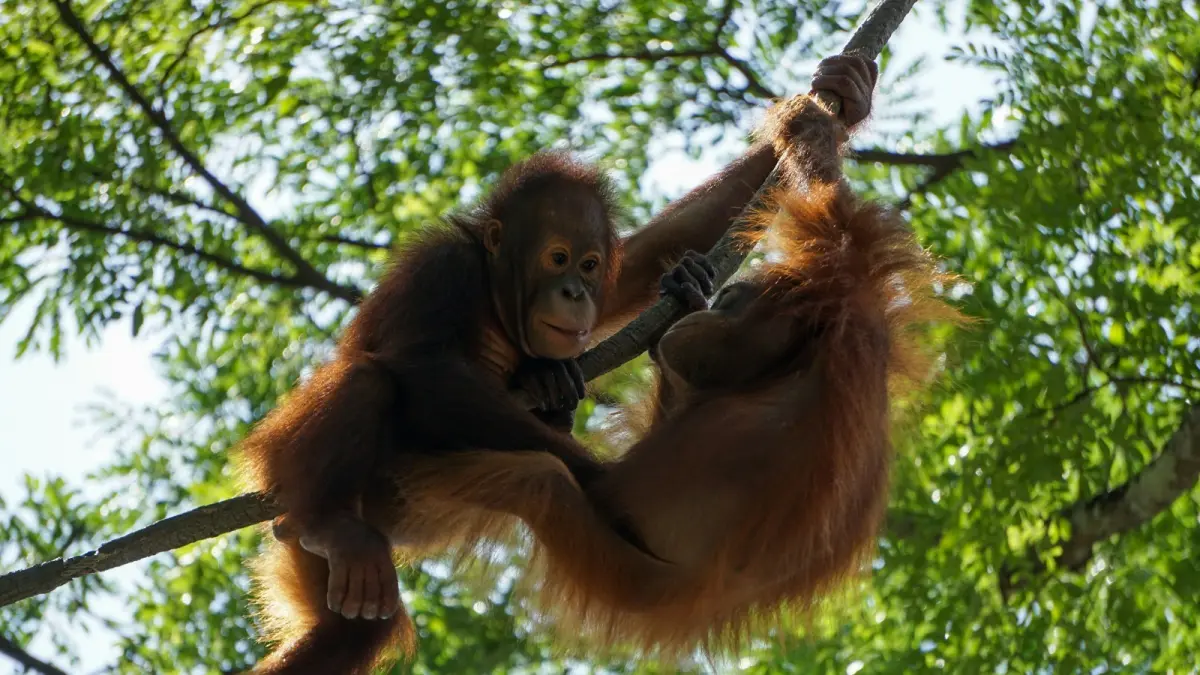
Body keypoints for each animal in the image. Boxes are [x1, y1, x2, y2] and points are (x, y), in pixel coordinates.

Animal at [237, 55, 880, 675]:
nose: (573, 292)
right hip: (282, 463)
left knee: (355, 631)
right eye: (557, 258)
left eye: (590, 265)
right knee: (370, 382)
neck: (497, 301)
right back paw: (331, 524)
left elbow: (643, 256)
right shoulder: (443, 267)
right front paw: (595, 471)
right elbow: (424, 369)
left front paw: (845, 93)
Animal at [381, 91, 965, 658]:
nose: (707, 311)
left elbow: (833, 208)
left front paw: (812, 129)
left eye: (732, 303)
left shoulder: (844, 290)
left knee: (534, 481)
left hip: (610, 568)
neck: (803, 359)